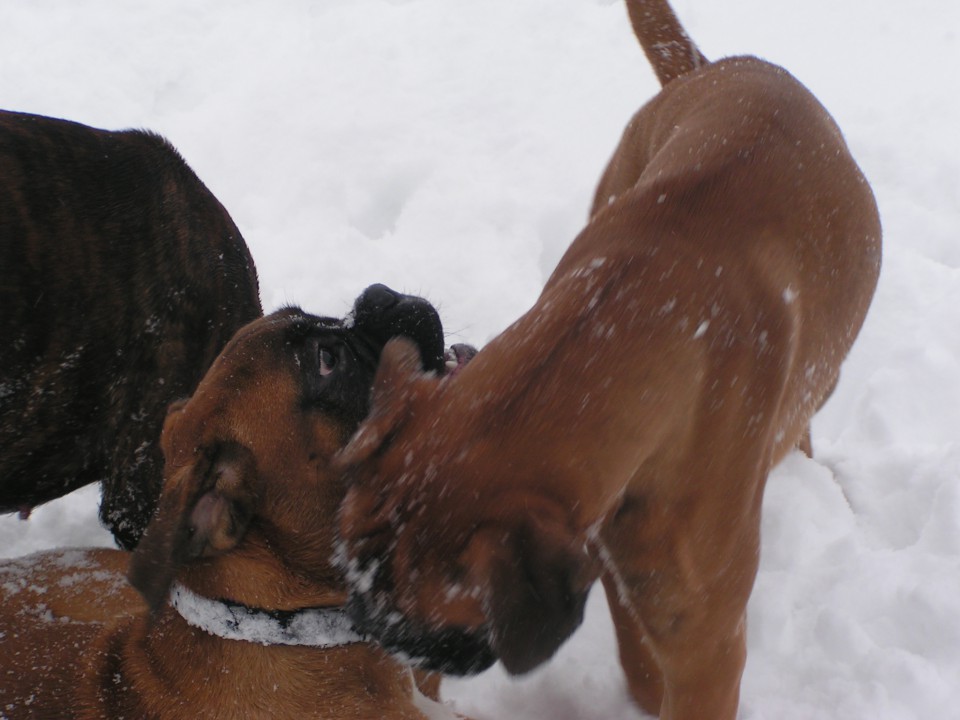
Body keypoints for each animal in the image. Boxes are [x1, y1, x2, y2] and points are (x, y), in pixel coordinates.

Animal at [334, 1, 880, 720]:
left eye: (429, 627)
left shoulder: (704, 646)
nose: (363, 632)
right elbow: (637, 659)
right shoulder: (609, 556)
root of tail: (719, 67)